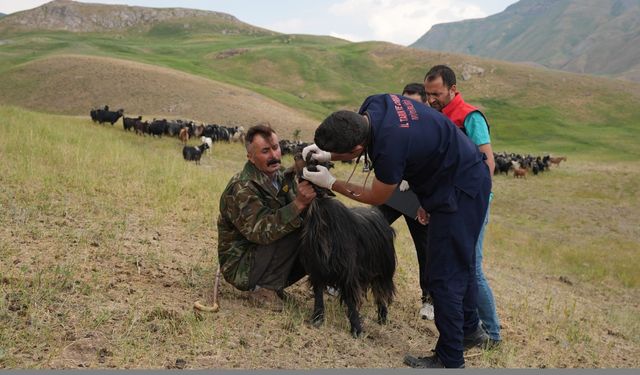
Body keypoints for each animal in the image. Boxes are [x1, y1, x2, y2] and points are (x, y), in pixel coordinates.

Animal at [296, 156, 396, 338]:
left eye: (319, 164)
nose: (302, 156)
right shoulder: (317, 267)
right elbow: (319, 295)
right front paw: (317, 319)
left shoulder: (348, 270)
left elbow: (350, 300)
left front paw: (356, 329)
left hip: (383, 270)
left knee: (381, 294)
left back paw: (382, 318)